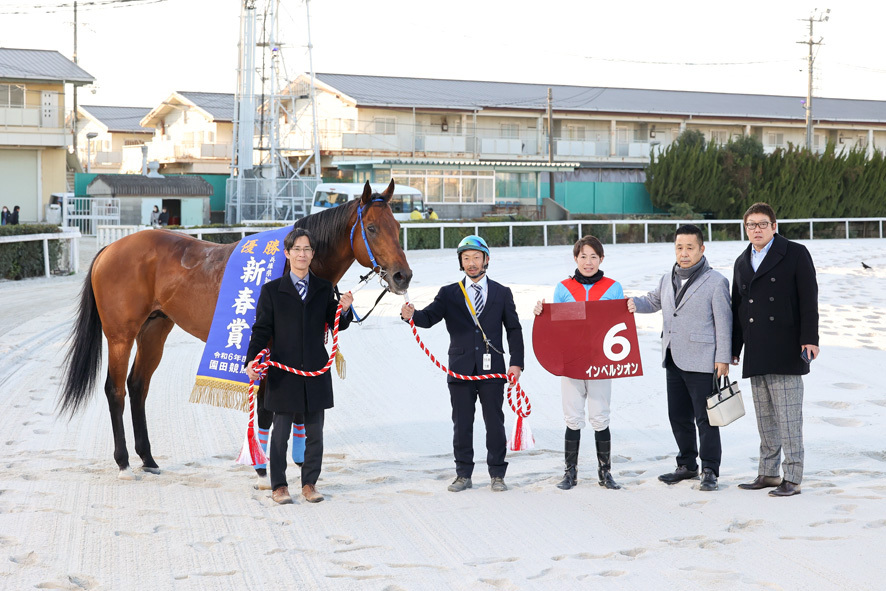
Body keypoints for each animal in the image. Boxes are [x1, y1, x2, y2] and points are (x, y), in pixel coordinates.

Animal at [59, 179, 412, 476]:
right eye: (371, 228)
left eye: (397, 226)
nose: (402, 276)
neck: (290, 267)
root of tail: (110, 249)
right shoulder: (270, 353)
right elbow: (269, 413)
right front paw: (264, 465)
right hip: (121, 335)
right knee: (115, 390)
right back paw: (123, 462)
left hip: (154, 331)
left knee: (137, 386)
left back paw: (147, 458)